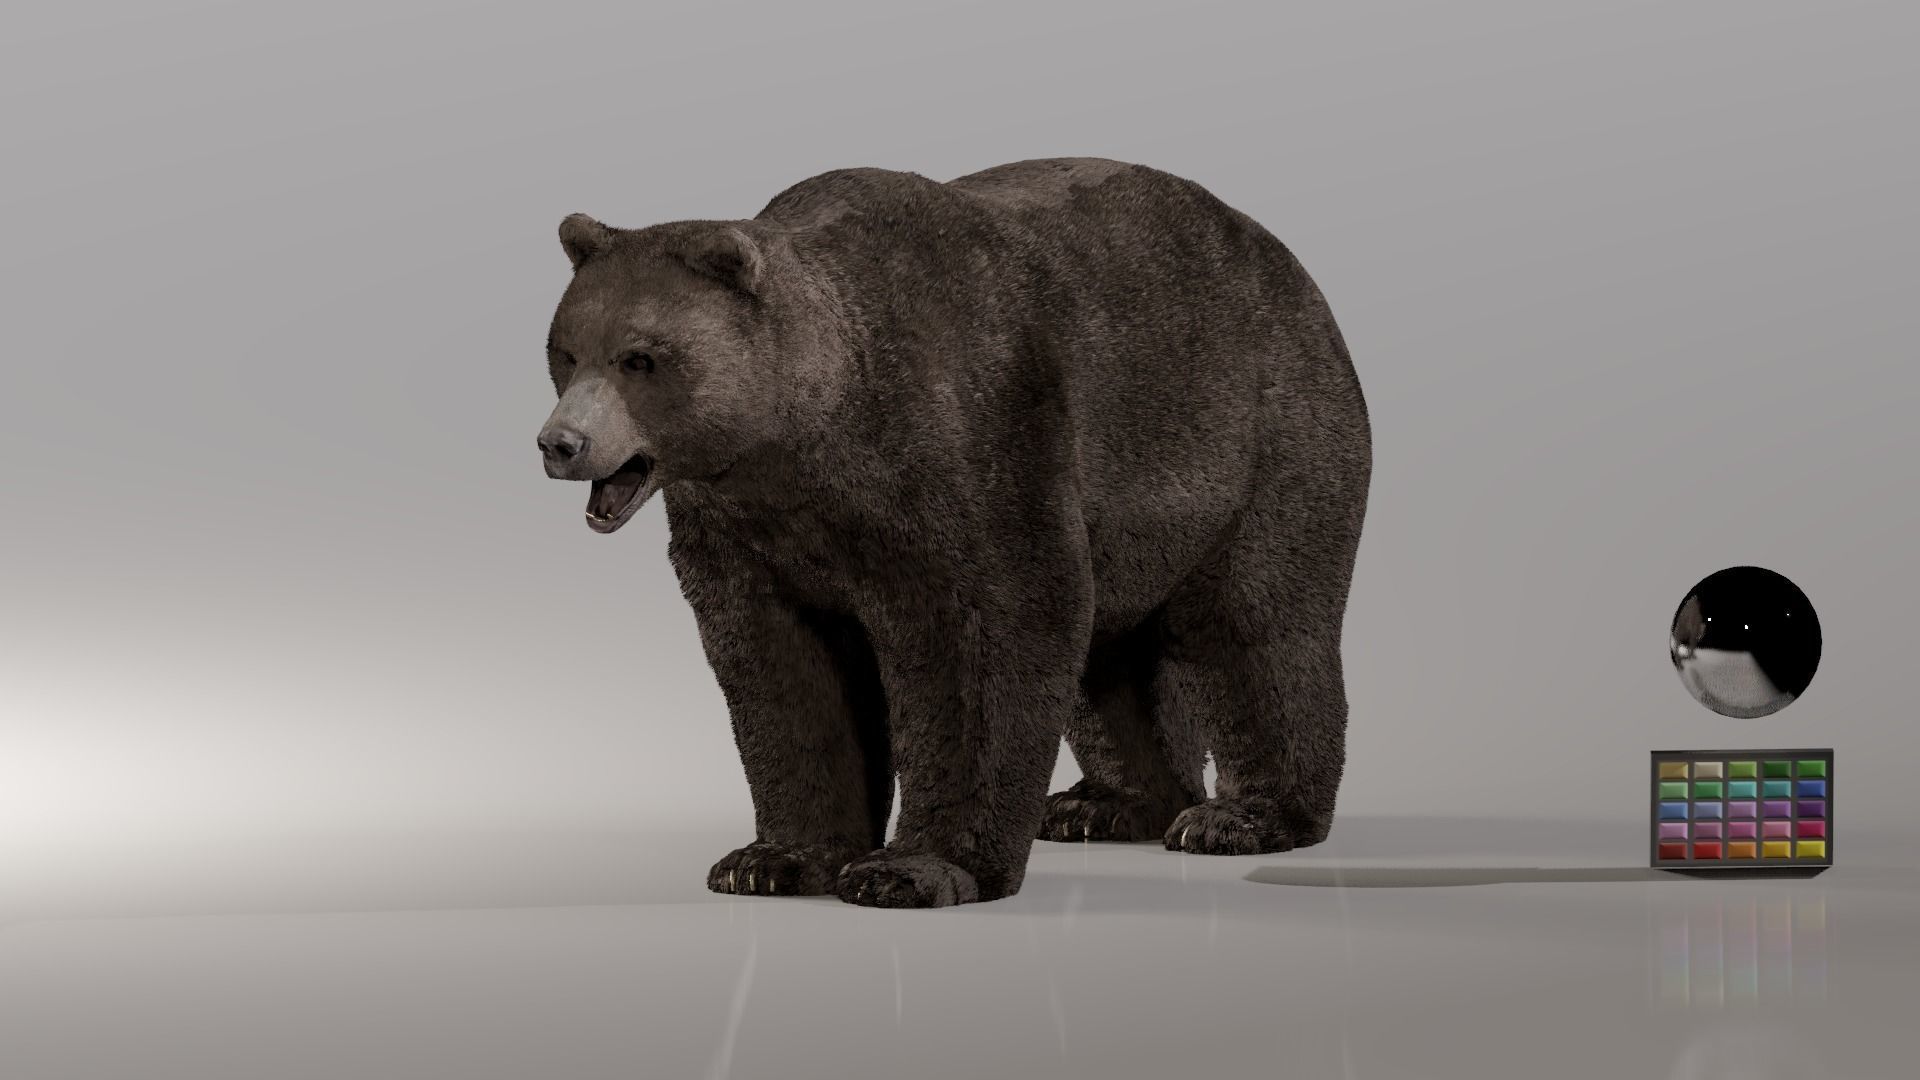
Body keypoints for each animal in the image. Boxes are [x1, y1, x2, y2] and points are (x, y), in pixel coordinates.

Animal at [535, 157, 1371, 908]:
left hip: (1261, 439)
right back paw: (1106, 805)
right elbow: (782, 669)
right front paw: (770, 859)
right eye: (564, 351)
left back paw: (1239, 816)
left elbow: (986, 635)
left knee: (1257, 622)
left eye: (641, 358)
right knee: (1110, 658)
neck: (807, 435)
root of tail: (1293, 268)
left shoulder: (968, 441)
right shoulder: (745, 530)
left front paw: (914, 868)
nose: (560, 443)